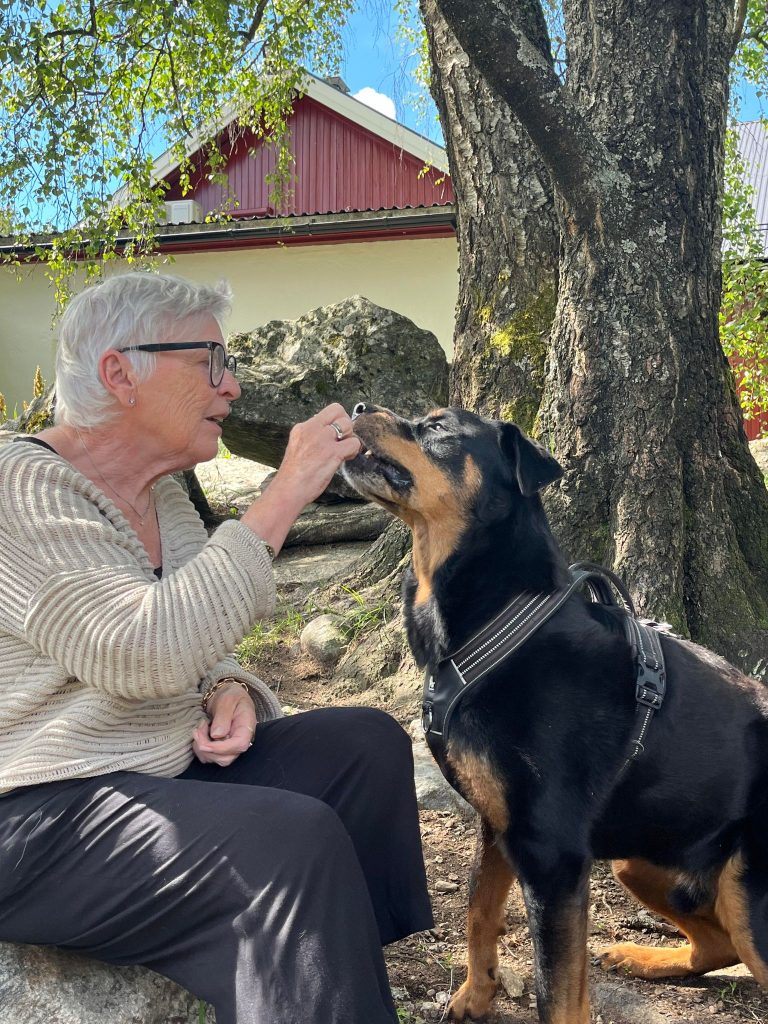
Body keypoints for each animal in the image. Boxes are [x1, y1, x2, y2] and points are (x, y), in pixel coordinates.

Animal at [344, 403, 768, 1024]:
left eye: (439, 427)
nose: (357, 408)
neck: (499, 623)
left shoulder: (551, 855)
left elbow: (556, 992)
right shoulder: (499, 824)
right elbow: (478, 909)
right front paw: (476, 994)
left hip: (746, 894)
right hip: (636, 858)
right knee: (717, 943)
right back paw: (642, 956)